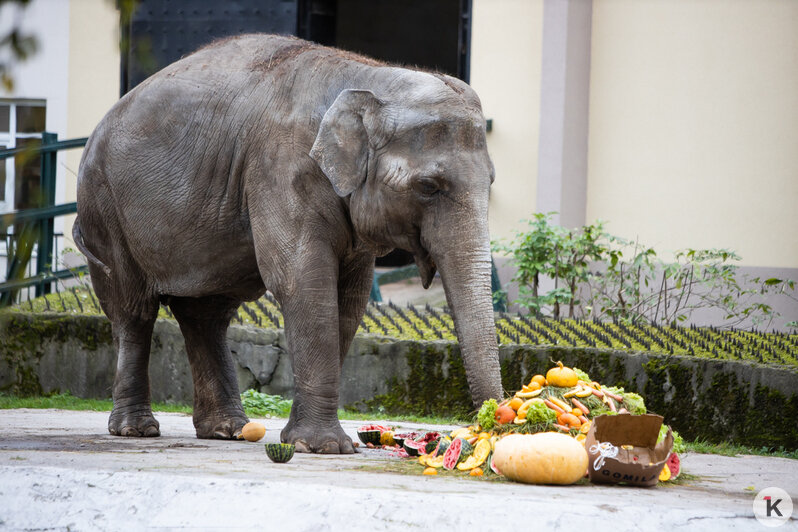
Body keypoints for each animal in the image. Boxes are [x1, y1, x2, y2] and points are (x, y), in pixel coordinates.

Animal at [73, 34, 500, 454]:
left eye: (492, 181)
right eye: (429, 187)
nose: (490, 425)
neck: (371, 75)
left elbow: (350, 298)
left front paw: (313, 442)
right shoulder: (281, 168)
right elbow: (303, 281)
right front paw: (323, 447)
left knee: (205, 314)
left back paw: (227, 430)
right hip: (104, 207)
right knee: (134, 311)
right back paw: (137, 430)